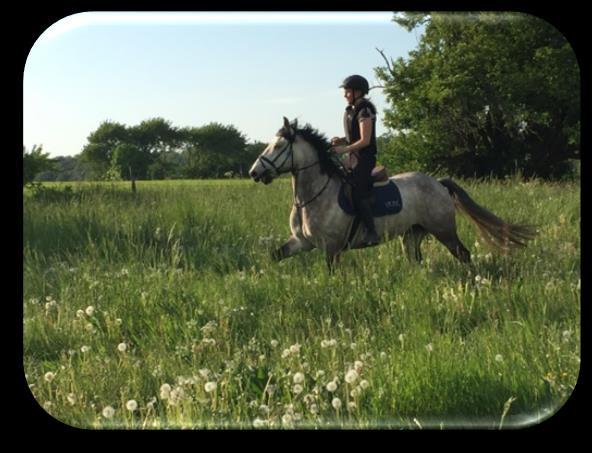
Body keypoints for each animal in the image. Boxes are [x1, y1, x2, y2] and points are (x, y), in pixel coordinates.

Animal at [249, 118, 536, 270]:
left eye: (279, 146)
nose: (254, 172)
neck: (311, 198)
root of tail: (438, 183)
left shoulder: (331, 247)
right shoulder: (301, 241)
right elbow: (274, 255)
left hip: (443, 229)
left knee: (463, 255)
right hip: (412, 234)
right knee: (416, 259)